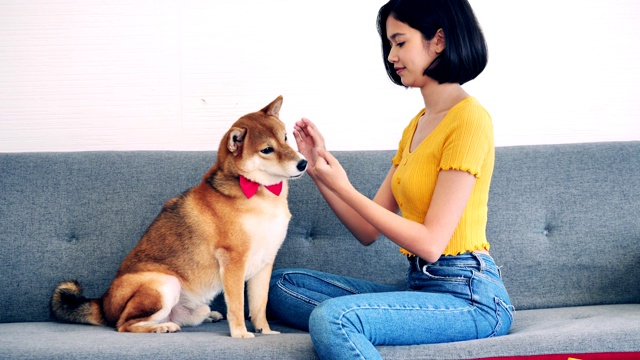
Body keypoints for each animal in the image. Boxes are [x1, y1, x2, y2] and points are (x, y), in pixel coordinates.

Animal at [51, 95, 306, 338]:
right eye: (266, 150)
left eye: (285, 138)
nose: (303, 163)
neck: (258, 193)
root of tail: (103, 303)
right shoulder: (233, 261)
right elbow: (236, 306)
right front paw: (240, 334)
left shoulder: (264, 262)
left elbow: (259, 306)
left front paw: (265, 330)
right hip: (165, 284)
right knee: (125, 325)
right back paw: (162, 328)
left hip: (194, 305)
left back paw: (202, 317)